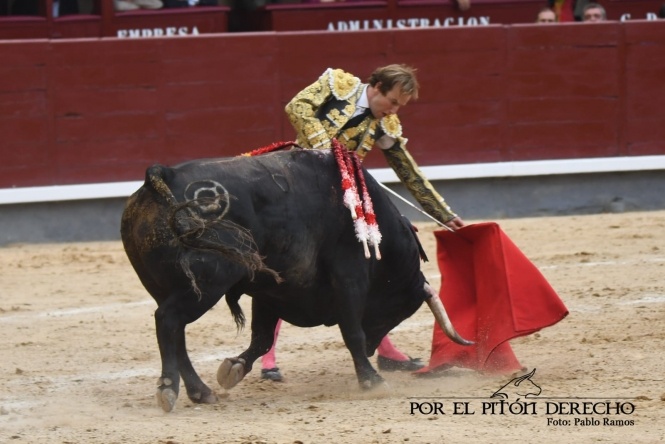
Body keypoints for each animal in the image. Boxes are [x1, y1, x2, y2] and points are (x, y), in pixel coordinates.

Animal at [120, 147, 472, 412]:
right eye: (399, 312)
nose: (375, 350)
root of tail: (163, 175)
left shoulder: (271, 291)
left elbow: (261, 338)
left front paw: (234, 368)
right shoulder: (349, 277)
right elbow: (352, 332)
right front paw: (371, 380)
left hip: (166, 286)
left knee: (175, 332)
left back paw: (200, 392)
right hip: (205, 284)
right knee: (168, 320)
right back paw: (169, 389)